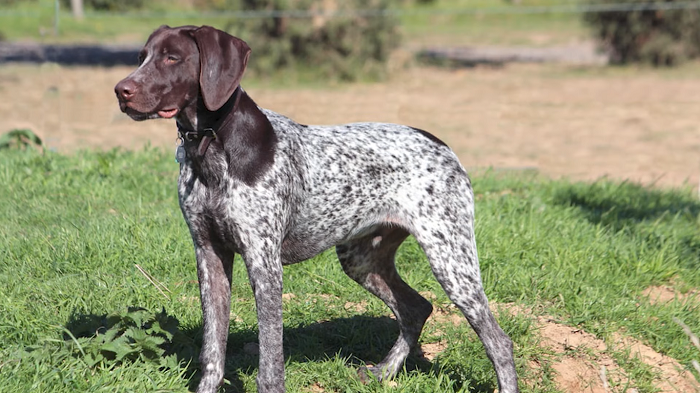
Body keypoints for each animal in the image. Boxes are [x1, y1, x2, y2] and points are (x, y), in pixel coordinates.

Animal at [115, 24, 516, 392]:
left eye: (173, 58)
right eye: (141, 57)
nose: (121, 91)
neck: (212, 147)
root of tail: (443, 145)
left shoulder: (264, 263)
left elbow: (270, 361)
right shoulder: (209, 255)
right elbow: (212, 352)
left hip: (452, 261)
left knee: (499, 342)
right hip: (362, 259)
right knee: (416, 308)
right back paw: (383, 372)